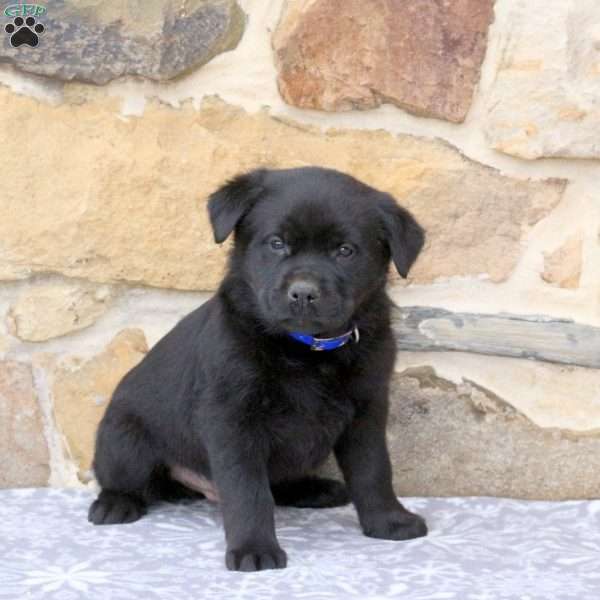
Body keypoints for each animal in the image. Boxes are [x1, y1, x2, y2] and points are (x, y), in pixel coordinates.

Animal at [88, 166, 426, 568]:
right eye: (277, 243)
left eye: (345, 251)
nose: (303, 293)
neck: (306, 350)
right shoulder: (232, 419)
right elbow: (248, 491)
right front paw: (254, 547)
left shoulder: (367, 409)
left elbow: (374, 470)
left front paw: (388, 520)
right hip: (125, 440)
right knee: (123, 478)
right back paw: (115, 503)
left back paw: (313, 488)